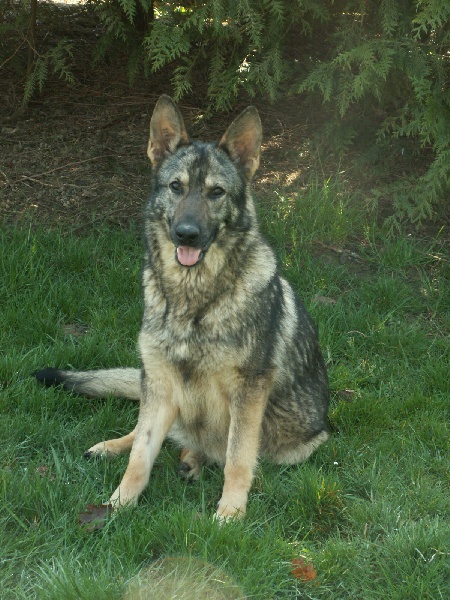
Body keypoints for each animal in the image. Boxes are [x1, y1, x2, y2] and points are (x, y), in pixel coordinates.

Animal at [35, 95, 330, 521]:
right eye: (176, 187)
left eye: (216, 192)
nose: (186, 234)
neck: (193, 299)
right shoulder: (159, 383)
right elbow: (141, 454)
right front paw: (117, 505)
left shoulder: (248, 393)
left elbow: (238, 457)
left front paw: (230, 514)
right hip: (162, 394)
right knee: (149, 432)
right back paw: (115, 447)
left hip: (296, 447)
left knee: (213, 448)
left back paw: (193, 460)